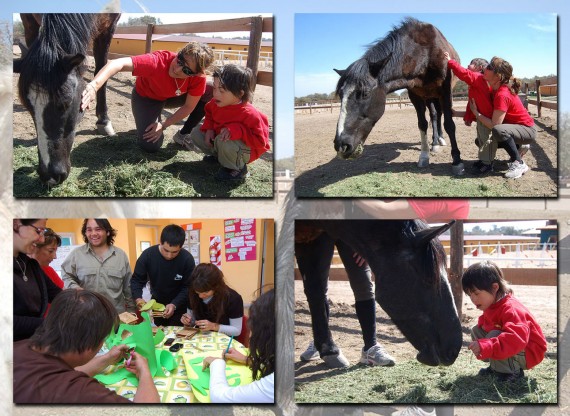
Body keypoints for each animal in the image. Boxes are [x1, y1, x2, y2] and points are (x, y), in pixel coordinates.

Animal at [332, 18, 462, 175]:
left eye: (365, 93)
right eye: (341, 94)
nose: (341, 145)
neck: (424, 53)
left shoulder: (446, 92)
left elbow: (450, 124)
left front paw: (457, 160)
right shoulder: (415, 95)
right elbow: (422, 124)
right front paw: (424, 155)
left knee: (439, 115)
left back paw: (440, 140)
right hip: (429, 96)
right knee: (434, 115)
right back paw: (435, 142)